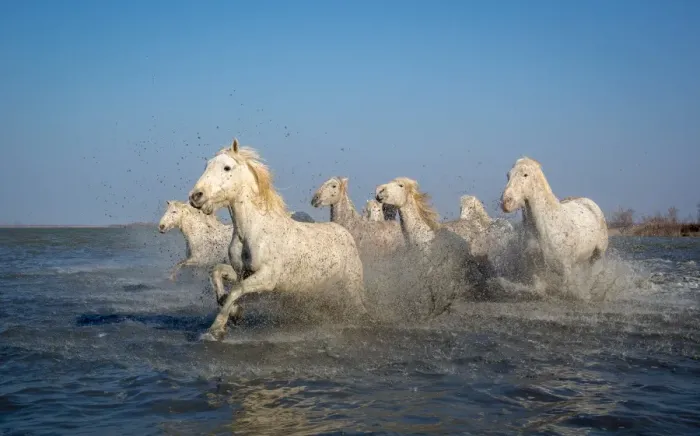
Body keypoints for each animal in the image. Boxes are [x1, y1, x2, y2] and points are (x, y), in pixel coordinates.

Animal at [188, 139, 367, 341]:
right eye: (207, 165)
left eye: (227, 167)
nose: (196, 196)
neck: (253, 231)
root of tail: (345, 232)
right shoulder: (243, 272)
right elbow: (217, 272)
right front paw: (233, 311)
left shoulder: (267, 278)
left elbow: (236, 289)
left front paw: (216, 329)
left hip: (351, 284)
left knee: (359, 307)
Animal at [501, 157, 609, 292]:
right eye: (508, 175)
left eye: (525, 175)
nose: (506, 202)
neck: (545, 228)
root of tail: (589, 202)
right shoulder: (535, 269)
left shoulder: (565, 269)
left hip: (598, 255)